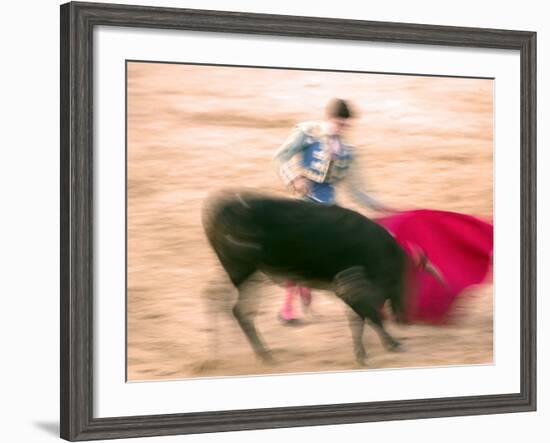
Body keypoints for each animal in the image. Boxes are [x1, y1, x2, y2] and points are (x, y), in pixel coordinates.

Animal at [203, 193, 410, 366]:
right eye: (397, 281)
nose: (402, 318)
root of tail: (220, 210)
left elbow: (361, 316)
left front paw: (368, 350)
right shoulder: (349, 287)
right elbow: (368, 314)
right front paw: (383, 347)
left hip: (249, 275)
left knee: (220, 300)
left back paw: (228, 353)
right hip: (243, 272)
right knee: (233, 307)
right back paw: (253, 355)